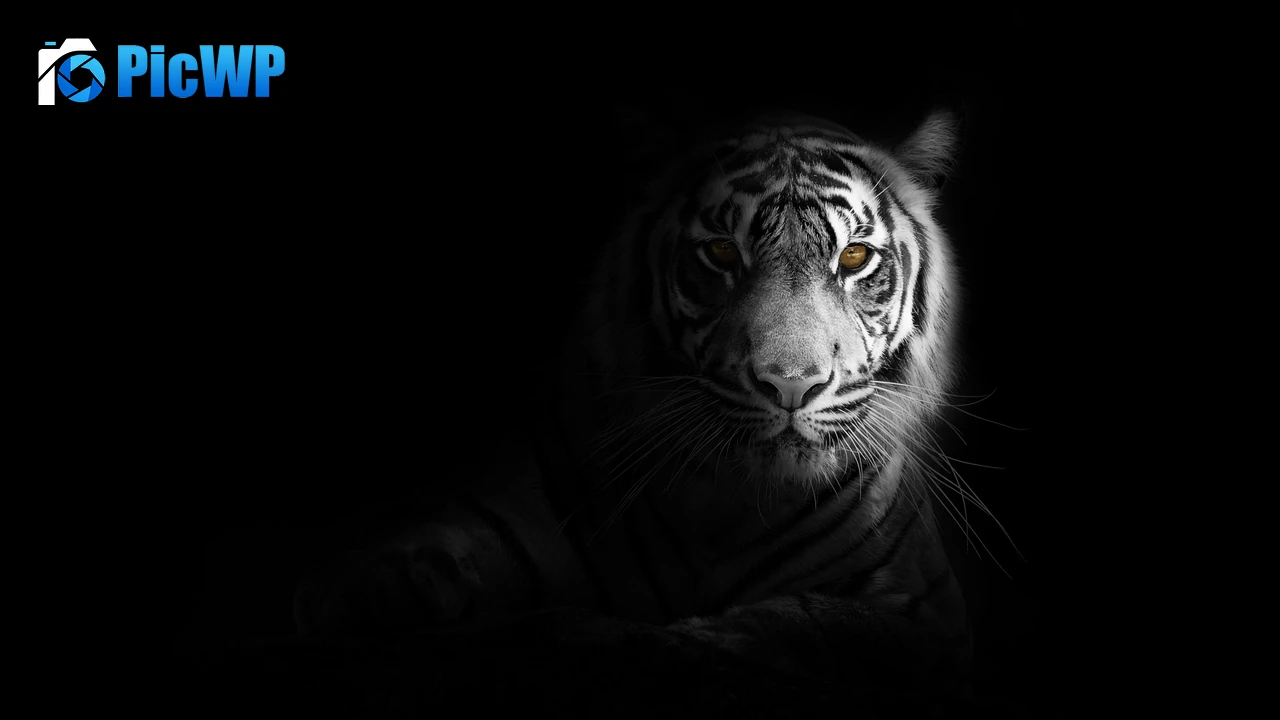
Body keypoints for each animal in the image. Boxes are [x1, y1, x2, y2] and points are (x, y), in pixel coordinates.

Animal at [295, 108, 980, 707]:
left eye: (854, 258)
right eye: (722, 254)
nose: (790, 386)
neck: (731, 504)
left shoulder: (930, 617)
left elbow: (819, 620)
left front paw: (700, 639)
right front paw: (378, 597)